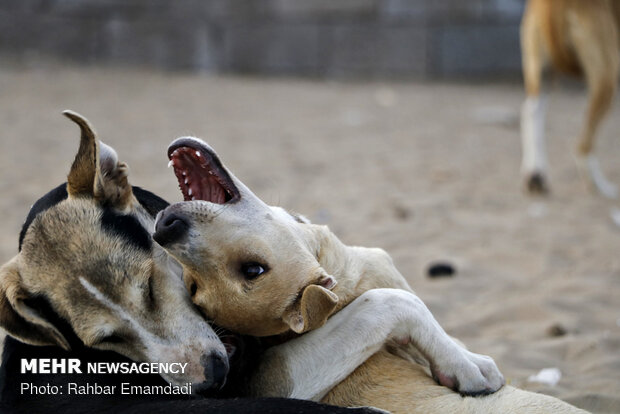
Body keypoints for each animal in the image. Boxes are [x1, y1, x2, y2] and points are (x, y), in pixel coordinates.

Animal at [151, 137, 588, 412]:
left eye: (252, 269)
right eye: (194, 285)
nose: (165, 228)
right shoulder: (283, 379)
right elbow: (398, 303)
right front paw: (468, 367)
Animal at [520, 0, 616, 198]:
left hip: (540, 66)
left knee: (531, 109)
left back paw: (535, 175)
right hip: (607, 72)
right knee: (582, 146)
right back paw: (600, 186)